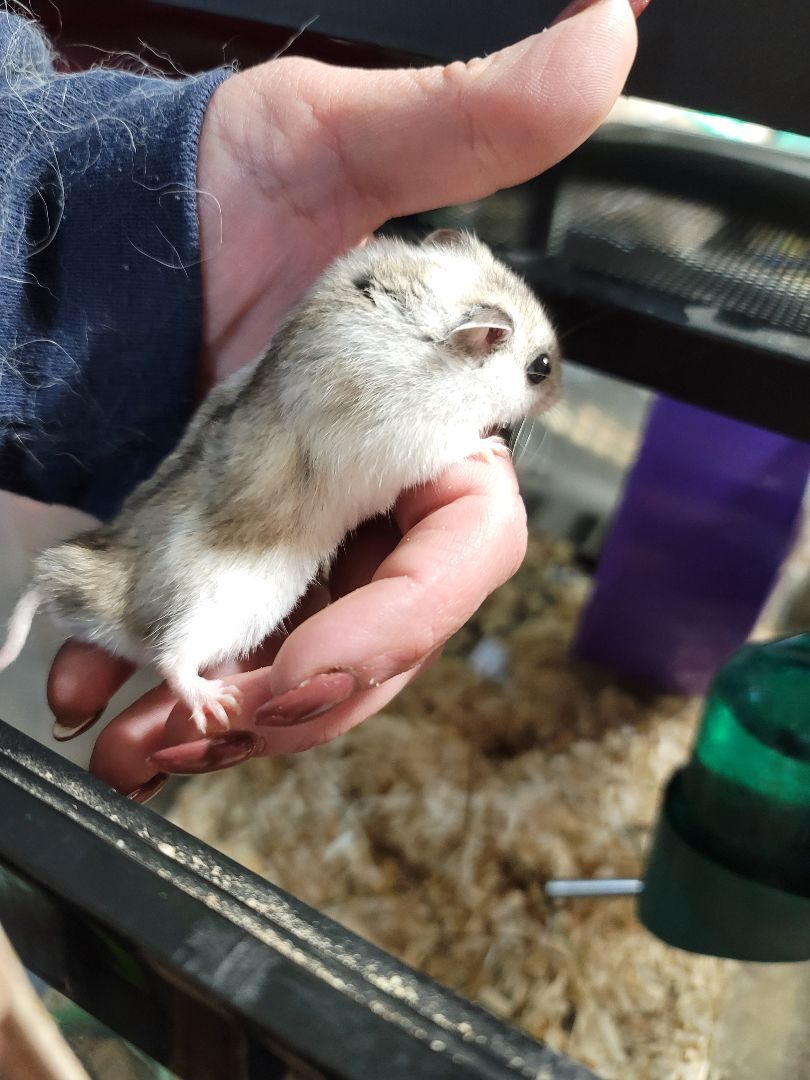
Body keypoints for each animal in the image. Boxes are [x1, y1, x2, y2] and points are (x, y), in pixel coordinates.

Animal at [0, 230, 560, 734]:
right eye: (541, 367)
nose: (560, 395)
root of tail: (89, 588)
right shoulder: (417, 436)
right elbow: (454, 447)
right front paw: (492, 448)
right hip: (215, 609)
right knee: (171, 657)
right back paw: (215, 705)